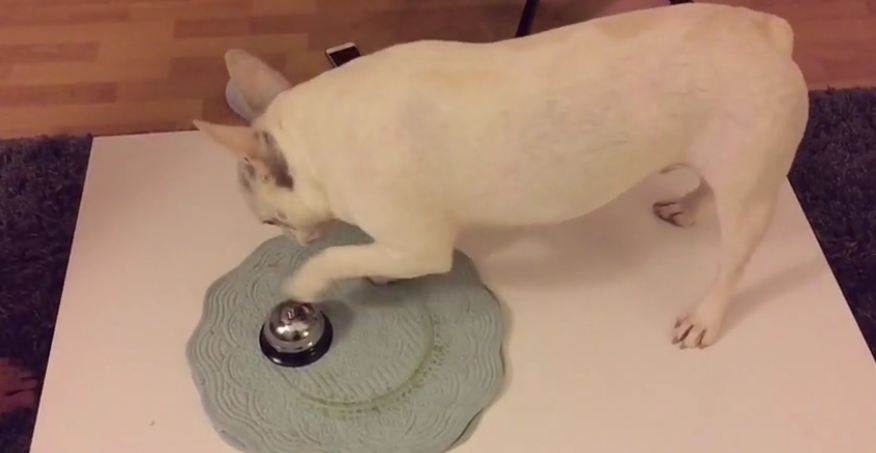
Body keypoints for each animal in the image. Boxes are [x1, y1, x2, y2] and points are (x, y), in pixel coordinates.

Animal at [197, 3, 808, 346]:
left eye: (269, 222)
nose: (293, 238)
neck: (316, 140)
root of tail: (771, 31)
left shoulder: (420, 244)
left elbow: (341, 257)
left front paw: (306, 279)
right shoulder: (401, 246)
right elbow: (373, 256)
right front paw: (379, 273)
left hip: (750, 188)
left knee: (733, 260)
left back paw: (707, 314)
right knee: (707, 185)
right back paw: (686, 206)